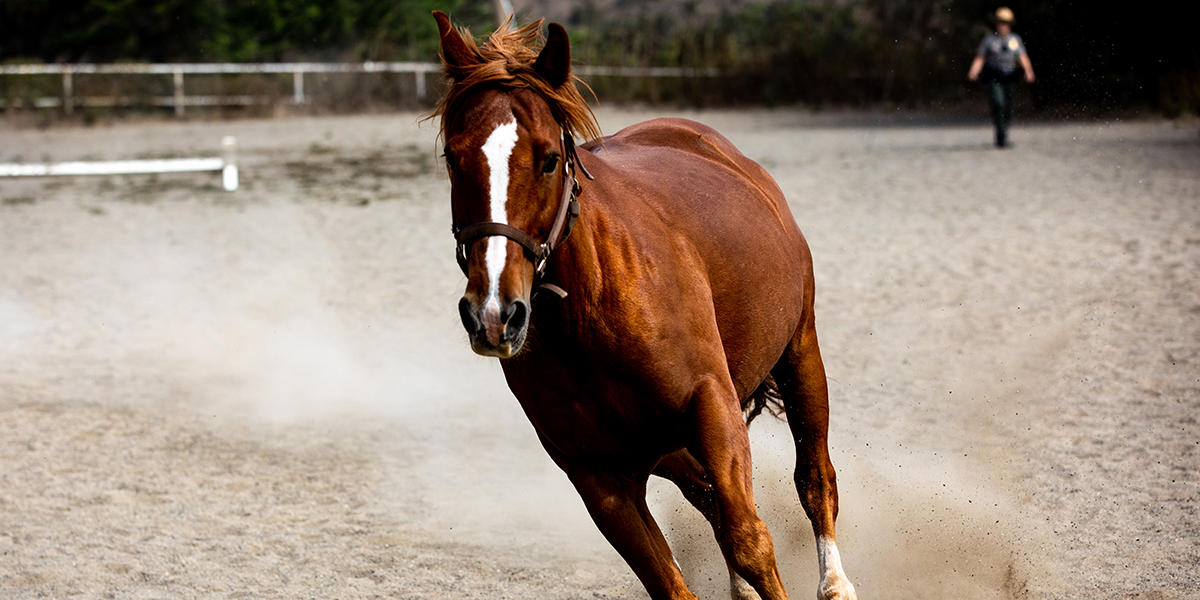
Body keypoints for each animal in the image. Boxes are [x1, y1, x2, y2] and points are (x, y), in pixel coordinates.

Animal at [436, 10, 859, 600]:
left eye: (548, 160)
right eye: (454, 159)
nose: (495, 314)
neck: (589, 317)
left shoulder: (711, 407)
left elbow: (752, 541)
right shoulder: (599, 478)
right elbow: (674, 580)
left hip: (800, 350)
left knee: (814, 479)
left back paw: (835, 582)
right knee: (710, 501)